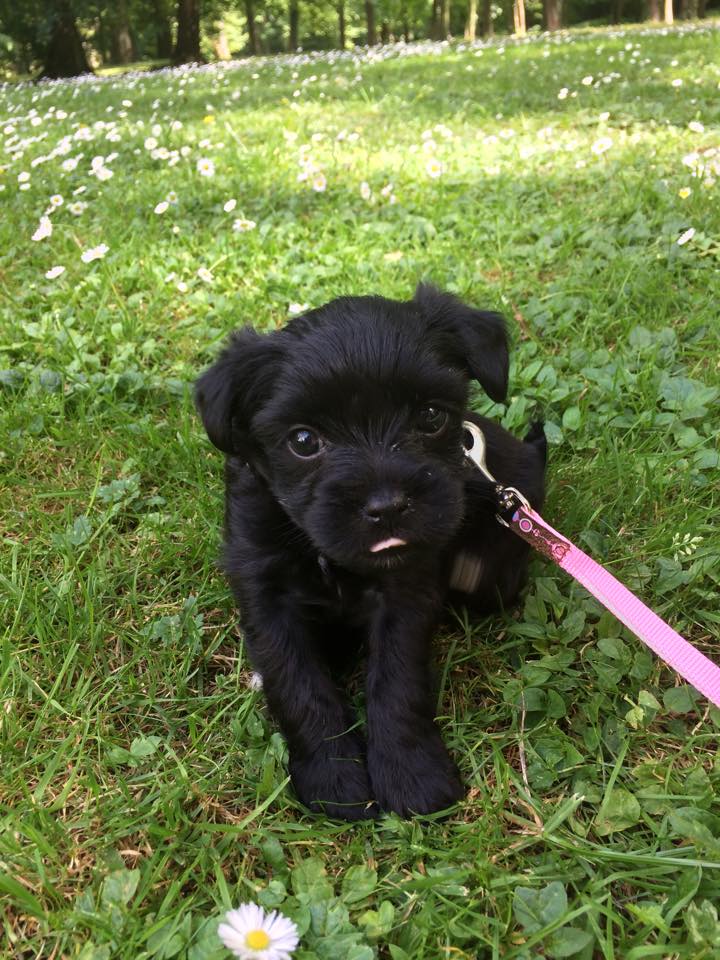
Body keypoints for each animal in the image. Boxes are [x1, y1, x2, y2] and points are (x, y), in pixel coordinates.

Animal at [197, 284, 544, 816]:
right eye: (303, 440)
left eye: (430, 416)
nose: (387, 506)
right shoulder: (264, 592)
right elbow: (296, 681)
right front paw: (333, 779)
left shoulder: (406, 592)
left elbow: (397, 680)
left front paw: (411, 774)